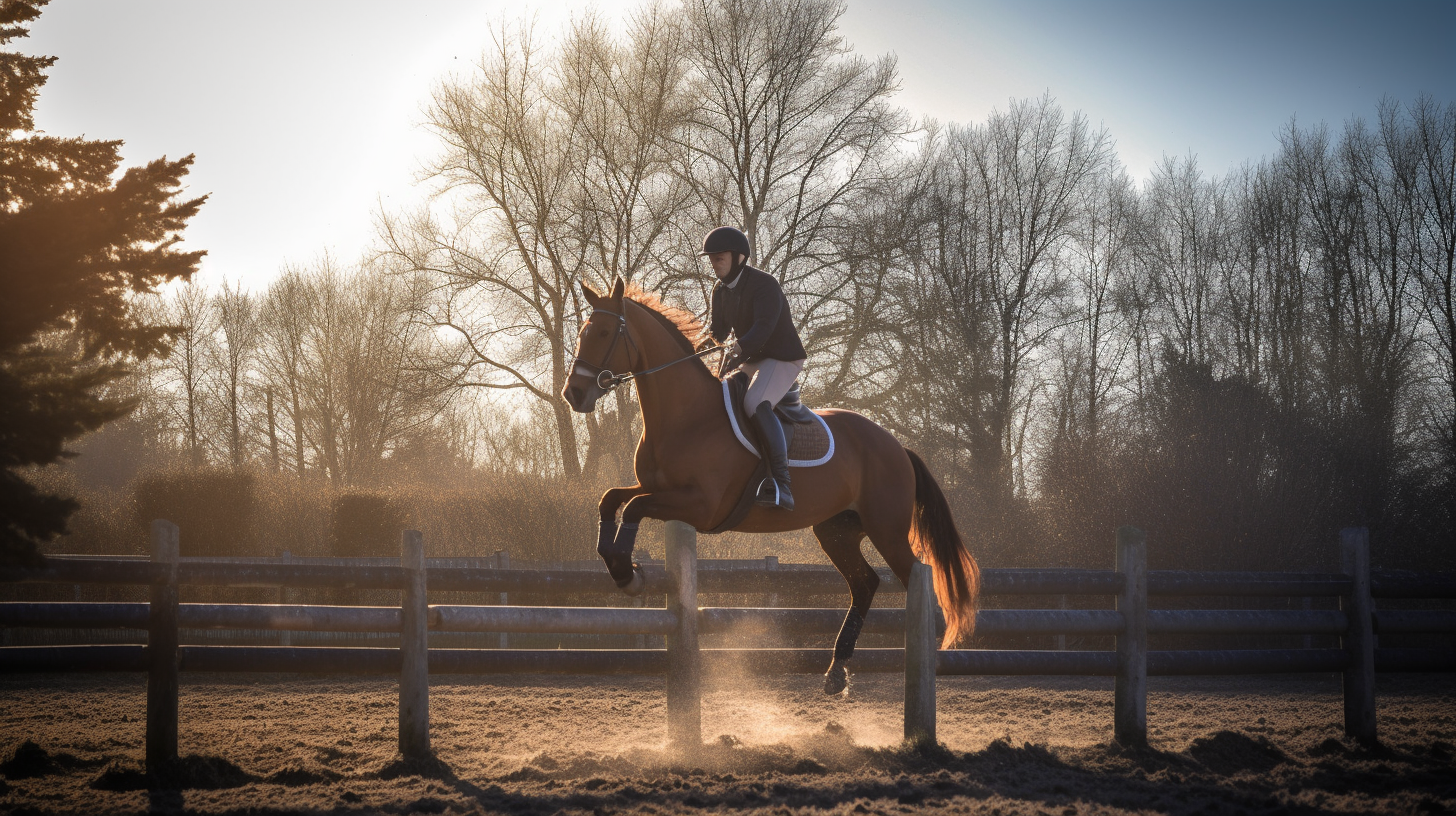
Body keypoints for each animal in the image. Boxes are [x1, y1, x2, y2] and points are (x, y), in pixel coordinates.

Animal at [562, 276, 984, 690]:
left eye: (603, 333)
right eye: (583, 333)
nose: (574, 394)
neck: (686, 416)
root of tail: (896, 446)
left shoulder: (702, 506)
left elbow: (633, 507)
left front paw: (627, 574)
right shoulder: (657, 489)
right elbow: (610, 499)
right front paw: (619, 565)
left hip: (887, 530)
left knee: (913, 578)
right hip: (837, 530)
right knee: (864, 582)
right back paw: (836, 669)